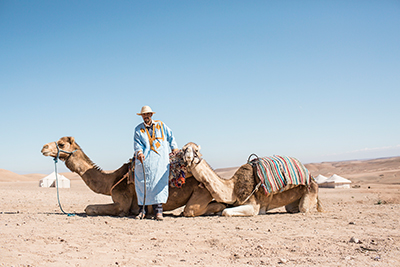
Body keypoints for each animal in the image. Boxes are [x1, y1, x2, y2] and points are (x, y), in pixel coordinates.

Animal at [42, 138, 228, 218]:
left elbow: (89, 208)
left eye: (61, 144)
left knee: (192, 210)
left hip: (203, 188)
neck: (111, 180)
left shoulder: (122, 203)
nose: (44, 147)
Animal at [183, 143, 324, 217]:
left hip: (310, 191)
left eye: (196, 150)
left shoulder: (254, 206)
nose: (187, 155)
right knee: (291, 207)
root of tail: (310, 176)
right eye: (184, 149)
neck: (233, 188)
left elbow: (225, 212)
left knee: (304, 208)